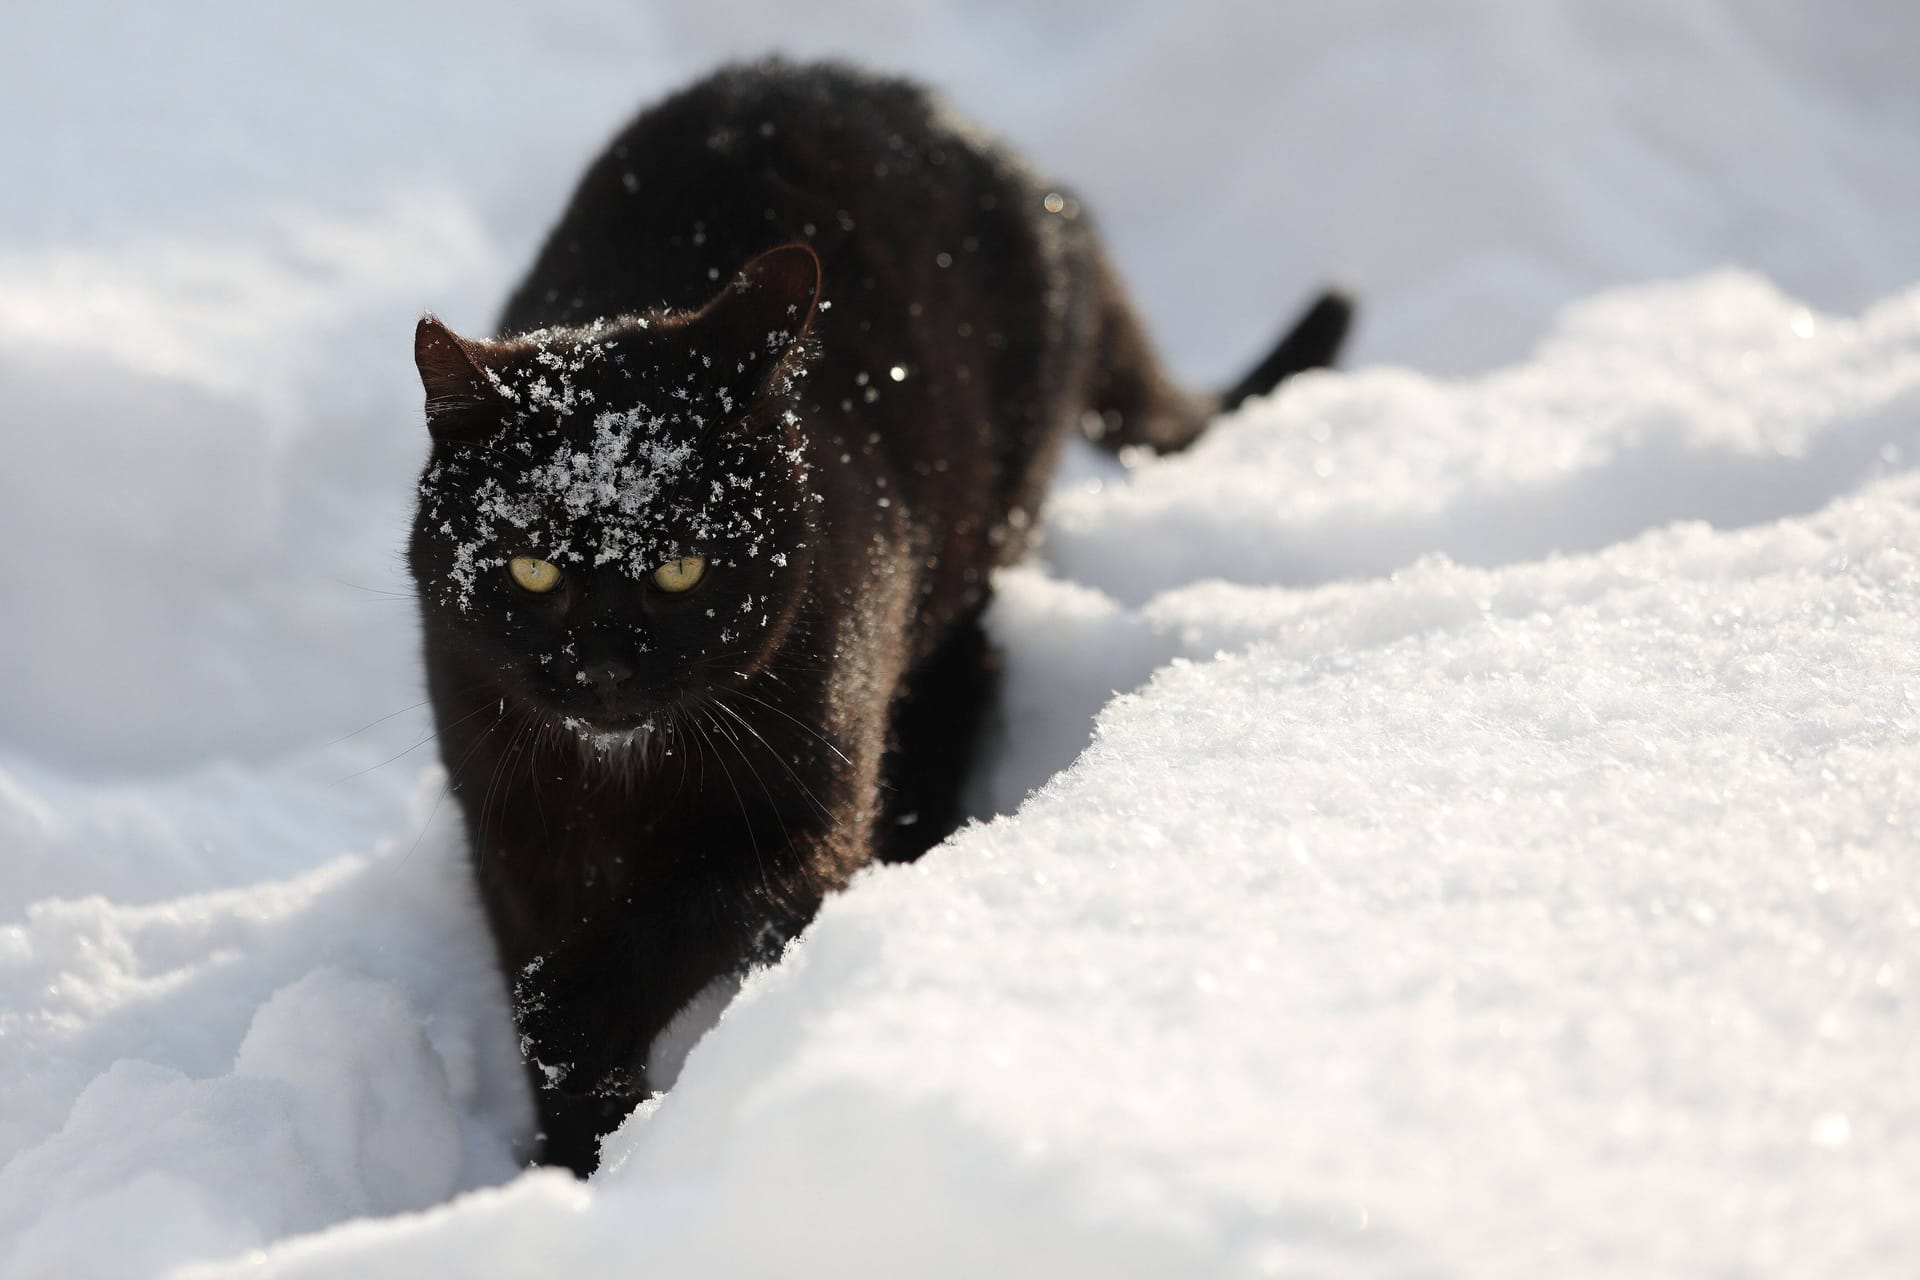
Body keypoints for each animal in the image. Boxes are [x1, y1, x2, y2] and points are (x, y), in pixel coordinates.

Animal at [408, 62, 1351, 1182]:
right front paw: (572, 1165)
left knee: (968, 676)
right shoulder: (507, 822)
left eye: (681, 570)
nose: (601, 670)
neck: (623, 774)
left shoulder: (801, 814)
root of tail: (1037, 181)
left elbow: (629, 951)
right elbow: (542, 988)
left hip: (977, 542)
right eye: (532, 569)